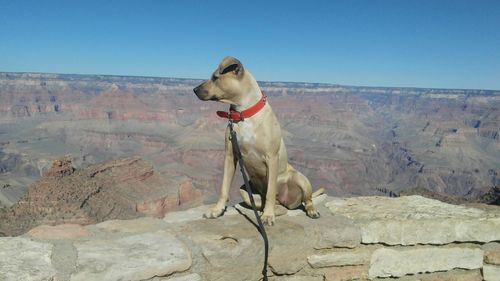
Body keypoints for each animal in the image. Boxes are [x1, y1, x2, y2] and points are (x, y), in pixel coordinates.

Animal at [193, 55, 322, 224]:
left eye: (215, 77)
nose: (194, 90)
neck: (244, 114)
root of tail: (285, 200)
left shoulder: (271, 158)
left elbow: (270, 192)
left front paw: (268, 215)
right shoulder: (230, 156)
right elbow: (224, 188)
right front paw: (217, 210)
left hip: (301, 179)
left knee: (306, 200)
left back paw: (309, 211)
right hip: (245, 191)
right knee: (277, 207)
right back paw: (266, 211)